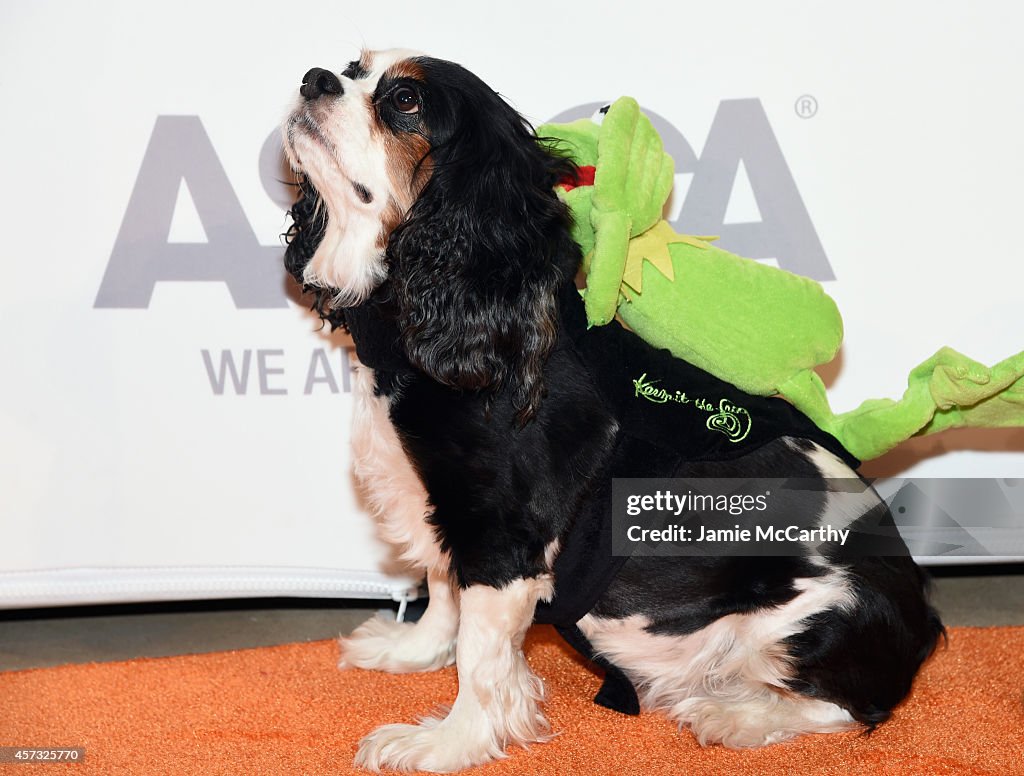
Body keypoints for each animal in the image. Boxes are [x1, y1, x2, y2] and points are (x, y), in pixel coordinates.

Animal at [280, 51, 942, 773]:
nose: (314, 78)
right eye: (354, 67)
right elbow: (442, 594)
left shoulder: (504, 534)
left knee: (853, 706)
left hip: (819, 616)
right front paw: (412, 652)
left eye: (404, 101)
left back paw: (734, 714)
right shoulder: (449, 512)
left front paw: (447, 742)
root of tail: (923, 625)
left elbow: (480, 657)